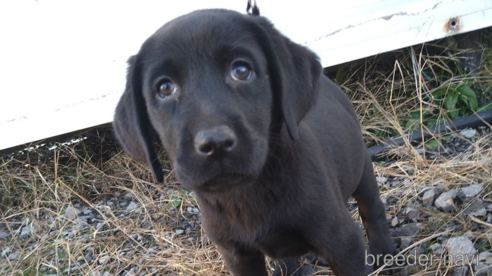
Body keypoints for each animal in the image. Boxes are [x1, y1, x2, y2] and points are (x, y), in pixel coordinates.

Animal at [113, 8, 398, 276]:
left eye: (241, 71)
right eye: (164, 88)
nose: (215, 144)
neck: (249, 191)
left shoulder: (342, 242)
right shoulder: (238, 255)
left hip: (362, 167)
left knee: (372, 209)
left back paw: (385, 254)